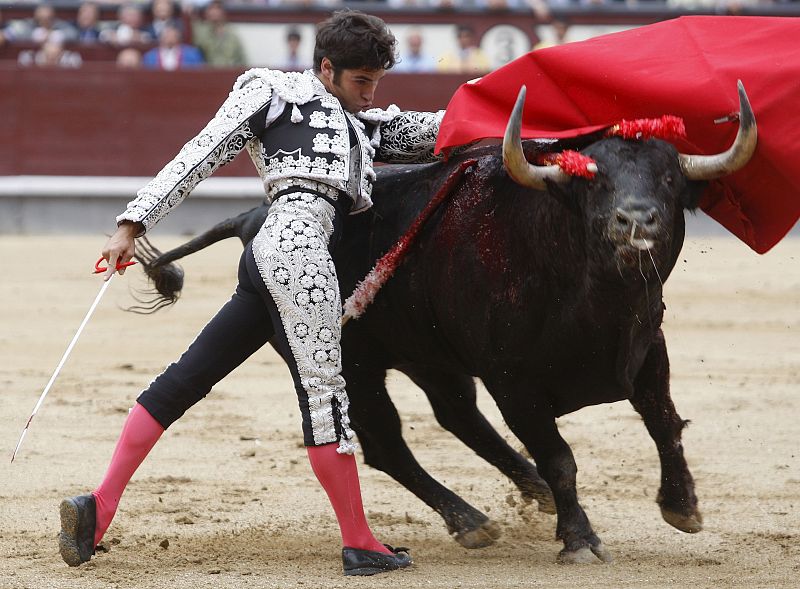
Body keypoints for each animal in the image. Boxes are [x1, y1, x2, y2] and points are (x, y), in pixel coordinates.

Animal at [131, 82, 756, 560]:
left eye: (670, 180)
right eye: (590, 179)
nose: (635, 221)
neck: (597, 301)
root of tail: (252, 216)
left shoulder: (647, 349)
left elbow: (663, 421)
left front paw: (682, 506)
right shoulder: (514, 381)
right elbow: (561, 457)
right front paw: (579, 538)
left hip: (430, 352)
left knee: (457, 415)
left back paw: (526, 491)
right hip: (352, 362)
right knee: (386, 444)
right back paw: (471, 520)